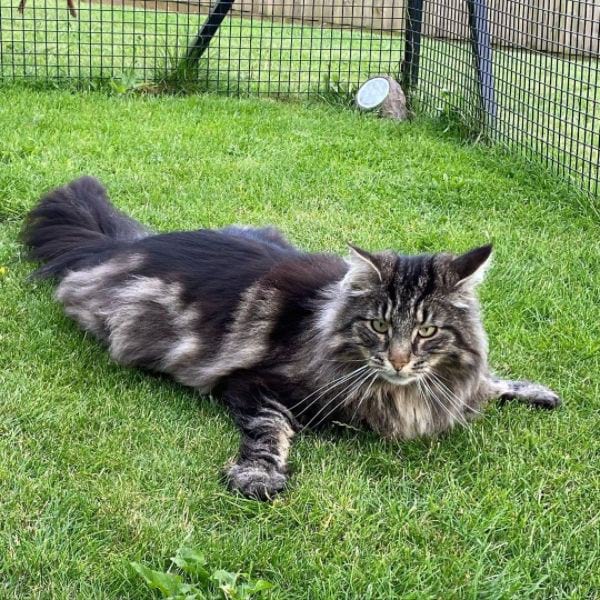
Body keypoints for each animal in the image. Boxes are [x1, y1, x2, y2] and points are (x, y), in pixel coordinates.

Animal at [21, 176, 560, 500]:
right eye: (379, 326)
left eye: (426, 331)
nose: (399, 361)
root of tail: (121, 244)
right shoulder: (254, 385)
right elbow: (271, 429)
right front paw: (258, 475)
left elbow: (488, 383)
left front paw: (529, 390)